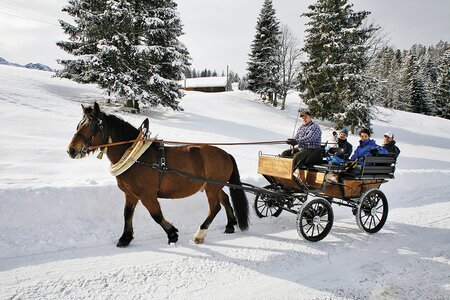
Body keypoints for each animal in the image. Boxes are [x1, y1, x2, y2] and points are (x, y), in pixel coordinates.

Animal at [67, 102, 250, 245]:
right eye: (78, 125)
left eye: (92, 126)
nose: (71, 150)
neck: (136, 157)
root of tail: (226, 154)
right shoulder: (130, 194)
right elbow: (127, 214)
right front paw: (125, 238)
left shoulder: (147, 195)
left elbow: (156, 215)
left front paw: (172, 234)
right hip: (213, 186)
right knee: (225, 199)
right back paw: (230, 224)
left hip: (212, 187)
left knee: (215, 208)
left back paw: (200, 234)